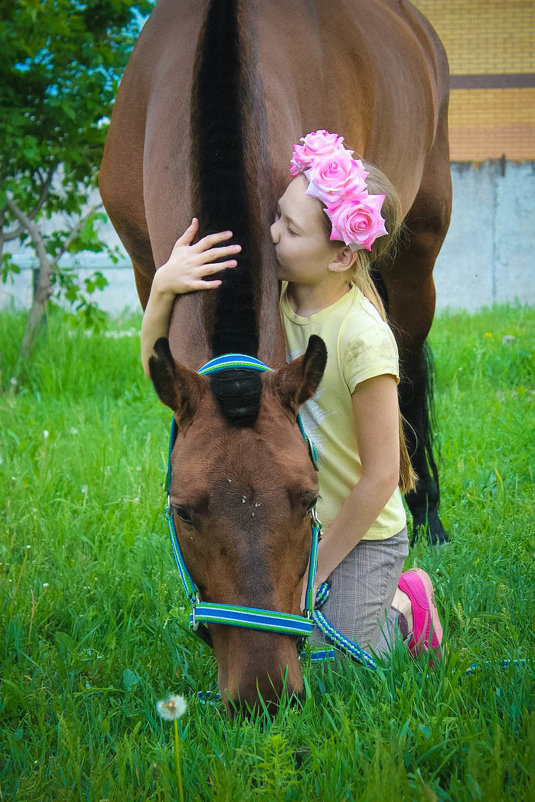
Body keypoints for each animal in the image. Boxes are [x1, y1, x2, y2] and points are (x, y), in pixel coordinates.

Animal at [99, 1, 452, 712]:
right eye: (183, 510)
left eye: (311, 501)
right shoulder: (145, 267)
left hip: (420, 245)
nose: (264, 692)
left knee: (410, 372)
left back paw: (427, 517)